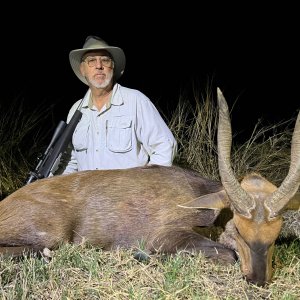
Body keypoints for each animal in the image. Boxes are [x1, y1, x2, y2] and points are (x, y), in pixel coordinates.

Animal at [0, 88, 298, 286]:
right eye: (238, 228)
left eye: (275, 234)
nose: (257, 279)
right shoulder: (164, 235)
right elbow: (228, 254)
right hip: (53, 233)